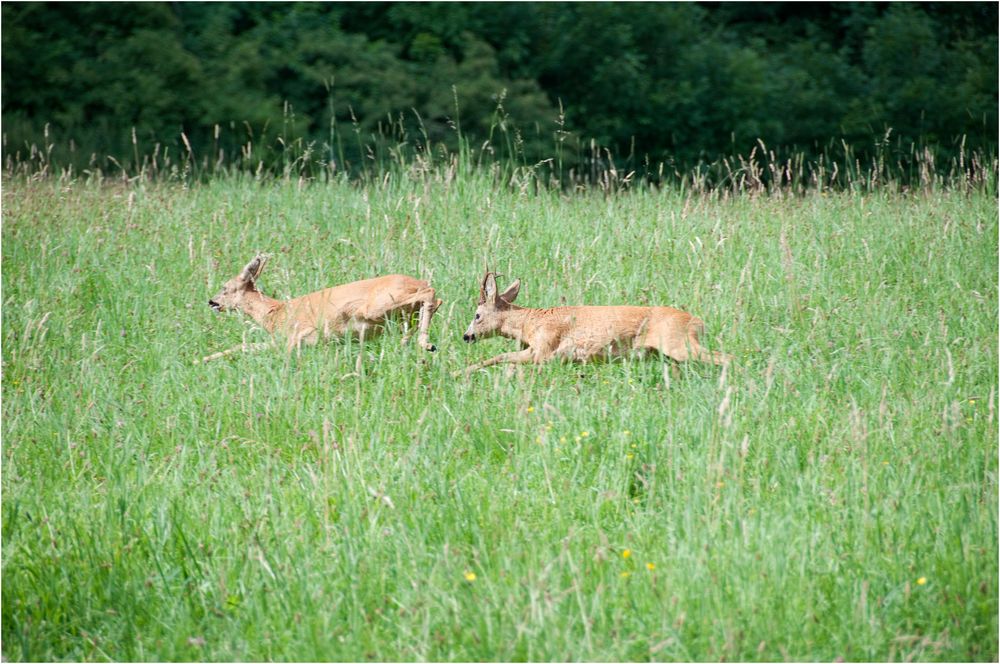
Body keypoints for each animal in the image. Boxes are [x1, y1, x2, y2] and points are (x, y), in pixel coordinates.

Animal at [201, 253, 440, 364]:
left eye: (225, 288)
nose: (212, 302)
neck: (273, 314)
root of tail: (418, 281)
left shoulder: (300, 334)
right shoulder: (279, 340)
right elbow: (244, 346)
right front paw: (201, 360)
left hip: (374, 307)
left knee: (431, 295)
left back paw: (425, 344)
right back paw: (412, 344)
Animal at [462, 270, 736, 374]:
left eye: (477, 315)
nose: (466, 336)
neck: (529, 324)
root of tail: (697, 321)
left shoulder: (544, 348)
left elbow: (501, 357)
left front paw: (461, 372)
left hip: (678, 343)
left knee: (726, 357)